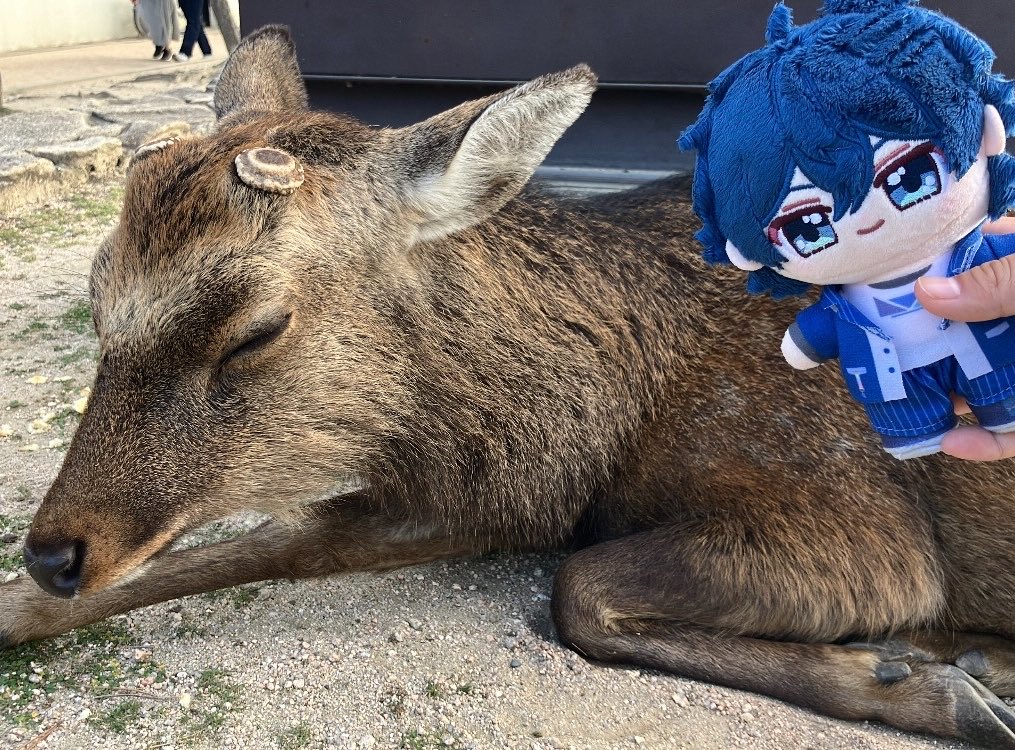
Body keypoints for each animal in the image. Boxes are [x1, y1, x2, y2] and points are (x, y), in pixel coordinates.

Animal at [2, 25, 1015, 748]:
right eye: (96, 294)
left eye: (257, 328)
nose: (53, 552)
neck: (611, 410)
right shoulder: (490, 493)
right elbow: (287, 540)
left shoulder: (857, 519)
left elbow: (579, 589)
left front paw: (921, 677)